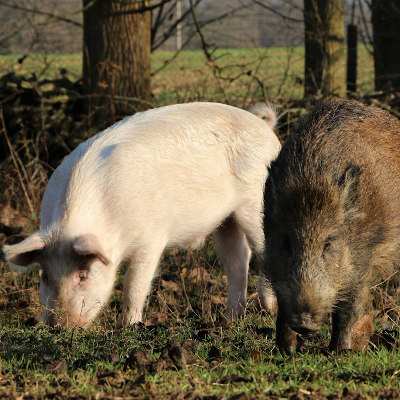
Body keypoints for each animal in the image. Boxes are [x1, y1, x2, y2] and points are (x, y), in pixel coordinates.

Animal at [1, 101, 280, 326]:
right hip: (226, 220)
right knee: (238, 260)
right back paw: (231, 319)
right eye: (45, 275)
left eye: (83, 274)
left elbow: (134, 285)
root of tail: (265, 128)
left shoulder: (151, 239)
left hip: (256, 205)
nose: (59, 326)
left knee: (265, 253)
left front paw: (130, 326)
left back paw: (270, 309)